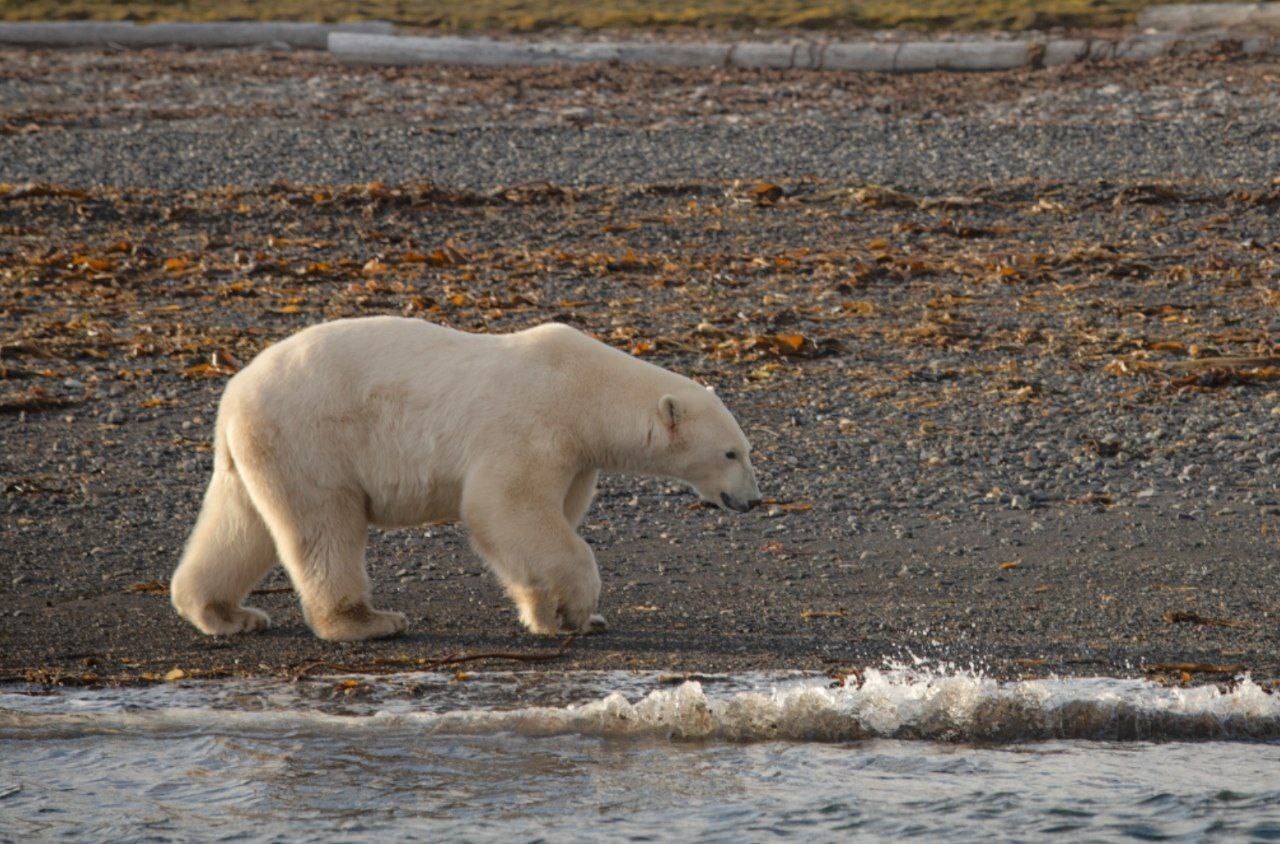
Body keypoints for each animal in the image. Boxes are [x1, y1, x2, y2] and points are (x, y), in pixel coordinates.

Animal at [175, 317, 762, 640]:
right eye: (731, 452)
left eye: (747, 450)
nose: (753, 501)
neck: (584, 391)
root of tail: (233, 392)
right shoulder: (531, 425)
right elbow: (506, 509)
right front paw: (579, 609)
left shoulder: (575, 455)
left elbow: (542, 526)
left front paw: (548, 613)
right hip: (311, 438)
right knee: (323, 529)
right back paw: (366, 621)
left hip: (258, 453)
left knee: (240, 524)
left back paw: (224, 612)